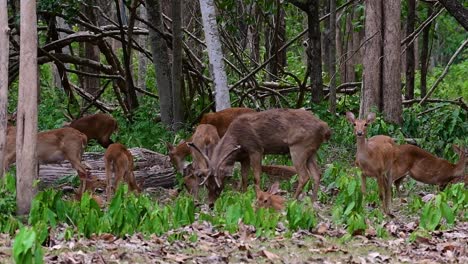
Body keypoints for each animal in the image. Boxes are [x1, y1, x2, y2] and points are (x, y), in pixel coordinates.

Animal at [188, 108, 330, 205]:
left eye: (218, 186)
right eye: (207, 185)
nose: (211, 203)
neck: (237, 140)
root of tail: (325, 127)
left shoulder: (256, 149)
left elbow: (256, 176)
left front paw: (257, 196)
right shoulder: (244, 156)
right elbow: (244, 177)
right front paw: (244, 194)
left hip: (299, 147)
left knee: (304, 176)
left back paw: (293, 200)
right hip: (311, 151)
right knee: (317, 174)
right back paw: (312, 201)